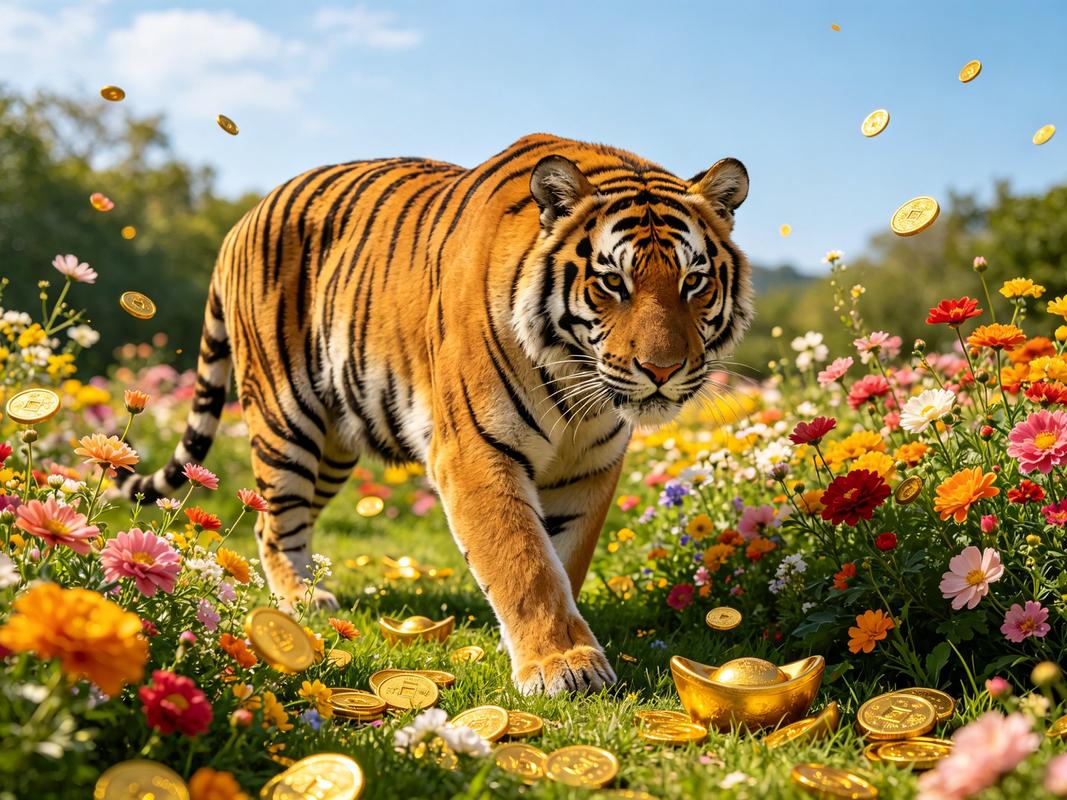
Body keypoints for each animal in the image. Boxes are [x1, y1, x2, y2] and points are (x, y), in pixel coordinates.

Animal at [119, 133, 753, 696]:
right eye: (612, 282)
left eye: (694, 281)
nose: (662, 370)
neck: (576, 381)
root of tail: (243, 218)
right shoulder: (475, 449)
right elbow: (524, 561)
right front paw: (562, 665)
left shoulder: (588, 468)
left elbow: (562, 559)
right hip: (285, 418)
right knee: (275, 521)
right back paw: (303, 602)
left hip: (334, 443)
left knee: (270, 519)